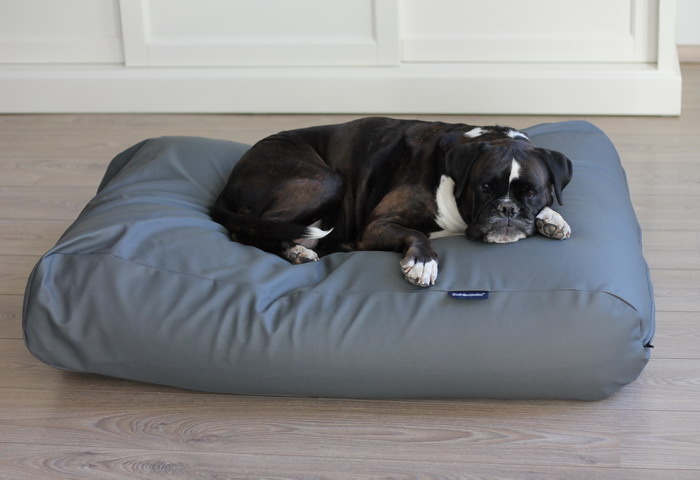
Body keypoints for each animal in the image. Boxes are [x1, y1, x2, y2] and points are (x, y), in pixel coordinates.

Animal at [212, 117, 572, 287]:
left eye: (531, 192)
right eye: (485, 187)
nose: (507, 209)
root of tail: (230, 180)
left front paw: (553, 219)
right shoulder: (378, 225)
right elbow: (416, 234)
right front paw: (423, 262)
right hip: (327, 182)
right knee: (248, 231)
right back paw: (297, 251)